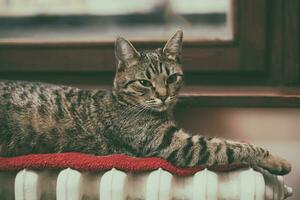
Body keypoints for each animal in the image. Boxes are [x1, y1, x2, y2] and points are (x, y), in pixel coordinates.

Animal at [0, 30, 290, 175]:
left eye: (171, 77)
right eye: (144, 82)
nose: (162, 95)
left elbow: (232, 143)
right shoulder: (179, 145)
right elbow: (232, 146)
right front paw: (276, 160)